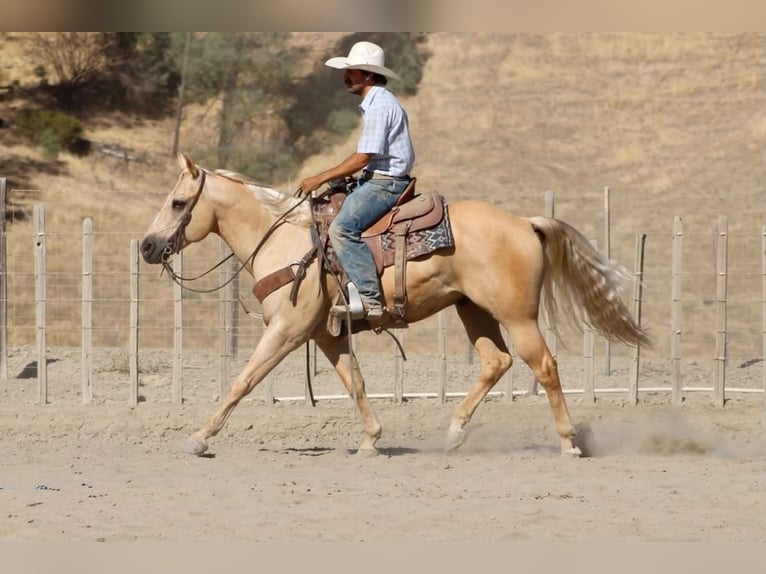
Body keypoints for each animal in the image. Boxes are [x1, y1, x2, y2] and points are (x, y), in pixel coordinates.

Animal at [141, 153, 650, 457]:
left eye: (178, 202)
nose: (147, 247)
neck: (286, 240)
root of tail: (525, 222)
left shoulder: (287, 330)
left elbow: (243, 381)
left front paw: (200, 438)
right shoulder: (326, 335)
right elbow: (356, 383)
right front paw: (371, 440)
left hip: (517, 315)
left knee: (543, 365)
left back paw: (568, 443)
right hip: (473, 310)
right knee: (496, 361)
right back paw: (454, 432)